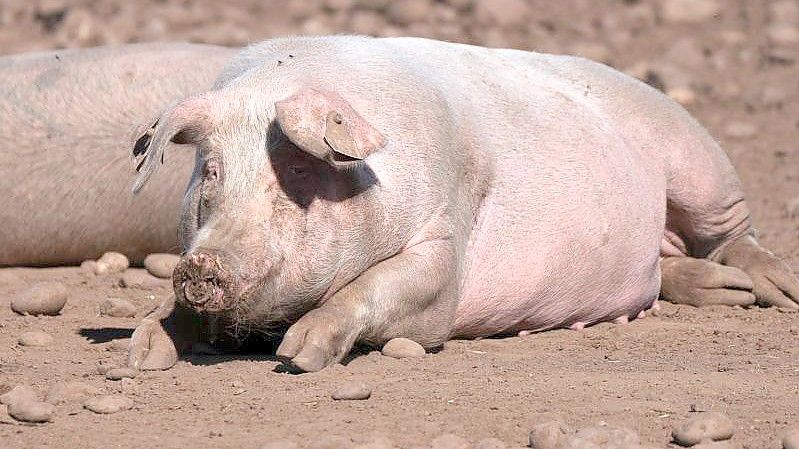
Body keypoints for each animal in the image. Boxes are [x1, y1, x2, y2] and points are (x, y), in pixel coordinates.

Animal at [125, 34, 799, 372]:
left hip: (696, 158)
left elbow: (383, 287)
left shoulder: (443, 244)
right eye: (211, 173)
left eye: (291, 171)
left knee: (733, 233)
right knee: (671, 267)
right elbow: (167, 310)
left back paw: (772, 291)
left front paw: (298, 355)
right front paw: (142, 355)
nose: (203, 264)